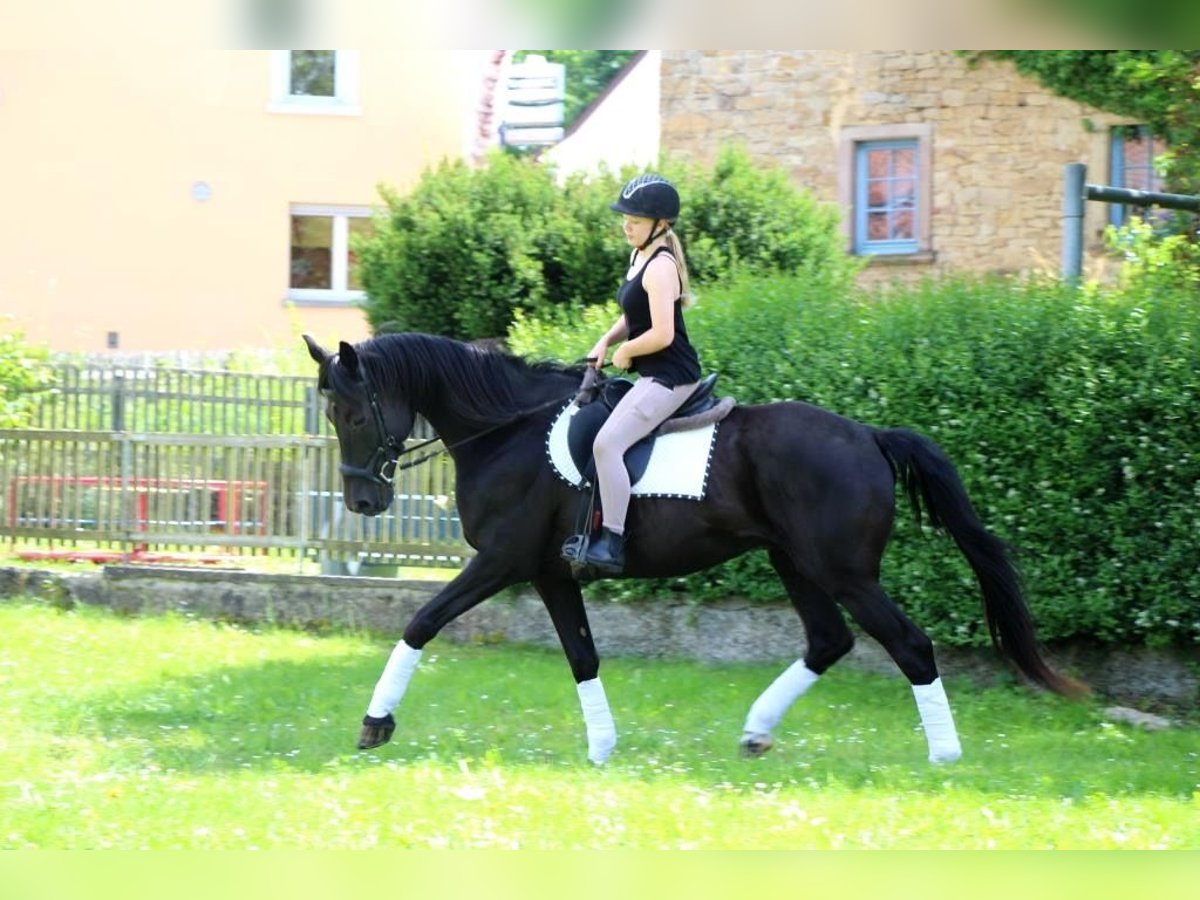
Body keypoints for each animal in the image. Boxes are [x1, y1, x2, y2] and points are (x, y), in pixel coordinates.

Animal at [304, 331, 1084, 768]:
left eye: (351, 412)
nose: (363, 502)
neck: (507, 429)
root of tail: (868, 435)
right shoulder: (552, 574)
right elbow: (582, 656)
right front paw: (601, 749)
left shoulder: (501, 562)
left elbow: (420, 622)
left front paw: (376, 723)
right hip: (795, 563)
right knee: (828, 641)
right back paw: (757, 734)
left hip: (843, 571)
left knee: (911, 646)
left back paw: (944, 754)